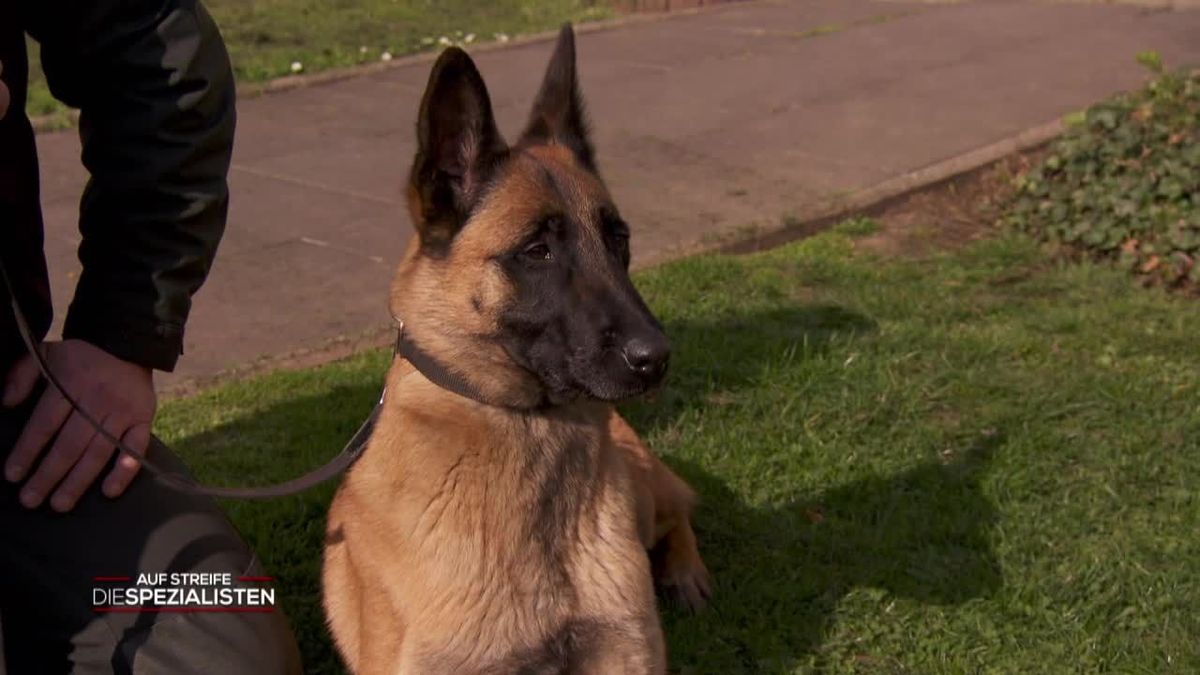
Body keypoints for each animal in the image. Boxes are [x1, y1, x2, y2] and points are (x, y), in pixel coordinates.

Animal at [324, 26, 705, 672]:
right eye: (537, 251)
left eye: (619, 239)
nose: (656, 359)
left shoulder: (626, 651)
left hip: (645, 498)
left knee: (680, 506)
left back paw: (684, 570)